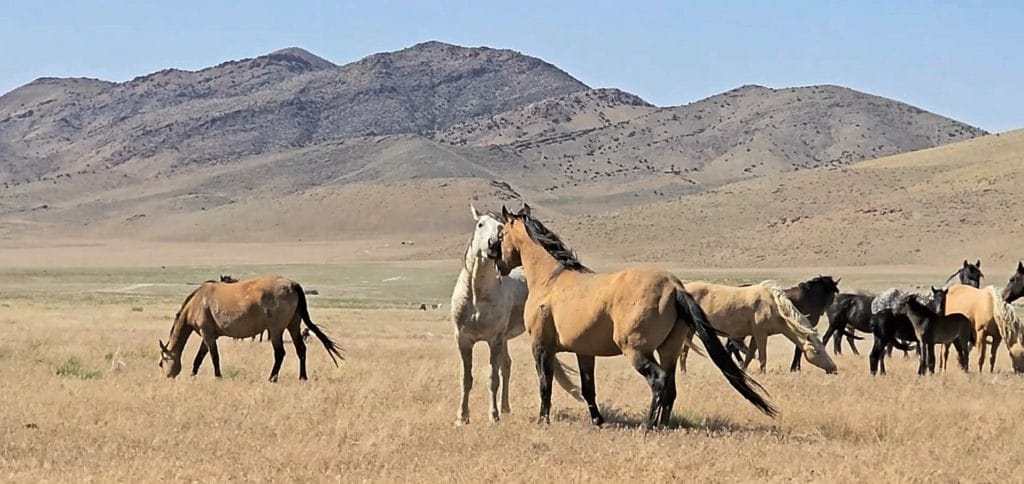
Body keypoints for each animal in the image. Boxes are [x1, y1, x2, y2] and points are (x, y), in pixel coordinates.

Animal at [159, 275, 343, 381]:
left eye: (161, 363)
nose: (167, 377)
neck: (196, 302)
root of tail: (293, 285)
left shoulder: (207, 334)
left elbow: (213, 357)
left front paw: (218, 377)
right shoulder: (210, 335)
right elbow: (199, 357)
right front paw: (193, 375)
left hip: (275, 329)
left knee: (280, 353)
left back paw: (272, 378)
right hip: (293, 325)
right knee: (301, 350)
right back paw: (302, 377)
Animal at [450, 205, 581, 424]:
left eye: (501, 228)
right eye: (480, 224)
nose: (492, 245)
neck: (477, 296)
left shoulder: (494, 340)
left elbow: (492, 378)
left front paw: (493, 416)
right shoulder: (463, 340)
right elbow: (465, 379)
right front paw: (462, 418)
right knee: (507, 366)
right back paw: (505, 408)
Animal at [490, 204, 776, 429]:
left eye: (501, 234)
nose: (496, 260)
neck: (552, 279)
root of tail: (675, 287)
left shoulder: (541, 347)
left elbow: (545, 385)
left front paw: (543, 420)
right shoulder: (584, 352)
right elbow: (588, 388)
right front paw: (598, 421)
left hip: (637, 351)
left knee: (658, 381)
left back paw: (648, 425)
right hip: (669, 350)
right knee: (670, 386)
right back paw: (663, 425)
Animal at [679, 281, 837, 374]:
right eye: (817, 351)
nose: (834, 368)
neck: (775, 307)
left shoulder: (755, 336)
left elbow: (749, 356)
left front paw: (744, 372)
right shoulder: (761, 334)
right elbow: (762, 357)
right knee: (684, 351)